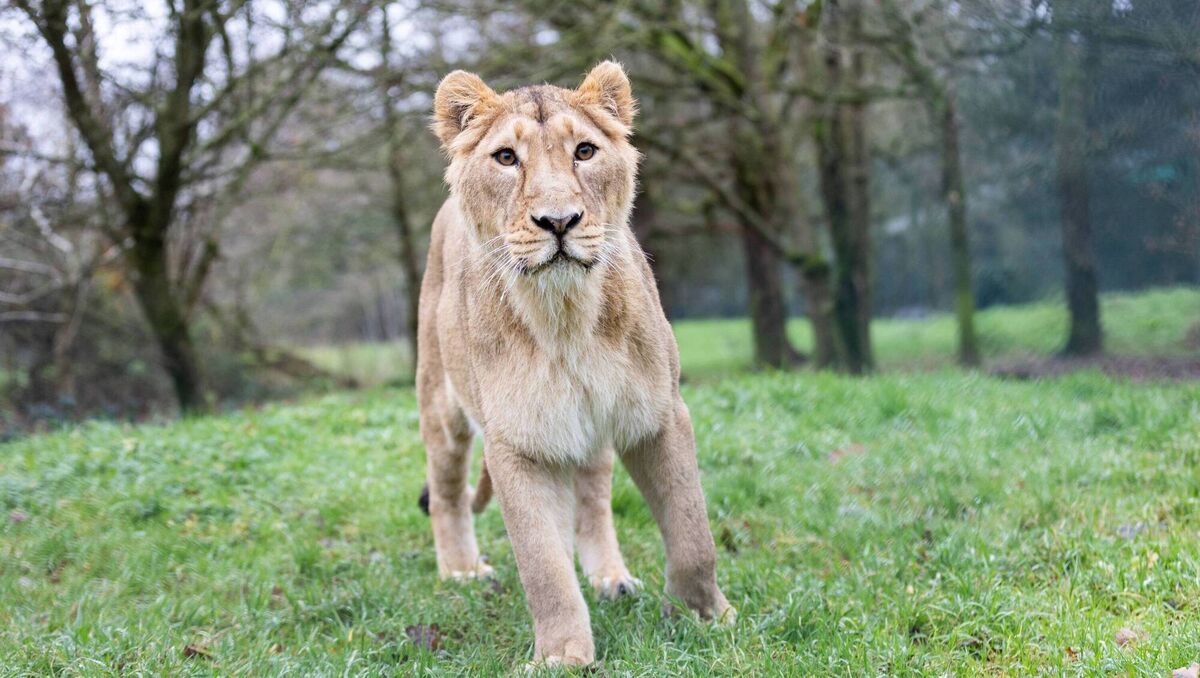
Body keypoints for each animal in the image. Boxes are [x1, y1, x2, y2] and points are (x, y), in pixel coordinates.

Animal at [416, 61, 732, 666]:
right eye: (506, 157)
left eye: (584, 151)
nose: (558, 221)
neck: (565, 316)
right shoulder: (516, 442)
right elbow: (543, 566)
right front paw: (563, 656)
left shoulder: (658, 414)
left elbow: (692, 533)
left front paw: (706, 617)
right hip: (442, 406)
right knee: (446, 493)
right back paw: (463, 571)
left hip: (587, 432)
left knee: (591, 502)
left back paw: (613, 580)